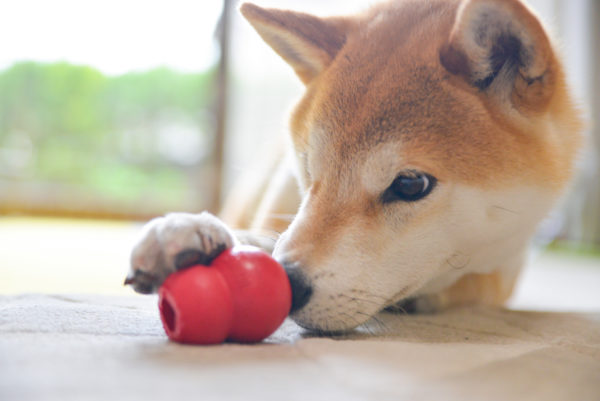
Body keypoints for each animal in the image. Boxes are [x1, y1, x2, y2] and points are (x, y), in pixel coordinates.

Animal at [125, 0, 580, 332]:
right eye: (309, 169)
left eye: (411, 185)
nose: (288, 284)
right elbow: (268, 234)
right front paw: (190, 231)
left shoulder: (504, 264)